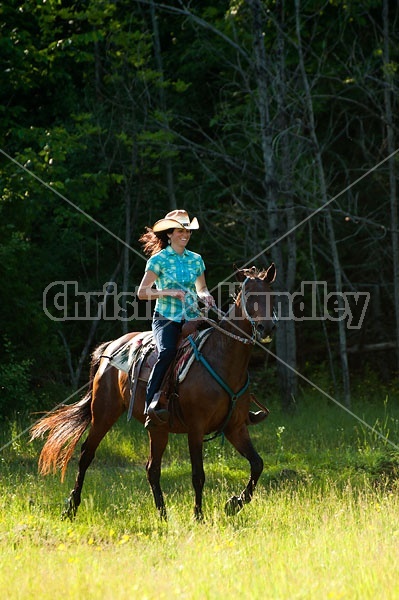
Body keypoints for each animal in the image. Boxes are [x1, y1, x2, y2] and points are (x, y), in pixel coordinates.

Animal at [31, 264, 276, 520]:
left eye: (272, 295)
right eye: (248, 296)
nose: (266, 327)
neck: (222, 360)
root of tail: (110, 347)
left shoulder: (235, 427)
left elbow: (257, 464)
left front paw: (234, 503)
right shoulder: (196, 428)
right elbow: (198, 475)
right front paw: (198, 516)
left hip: (158, 427)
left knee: (152, 469)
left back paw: (163, 515)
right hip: (104, 413)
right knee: (86, 455)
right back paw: (71, 507)